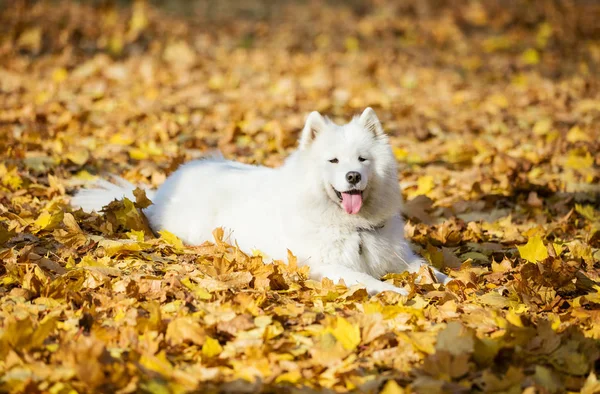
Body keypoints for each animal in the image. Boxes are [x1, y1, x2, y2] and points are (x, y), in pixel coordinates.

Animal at [72, 107, 450, 292]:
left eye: (362, 159)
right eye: (334, 161)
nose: (353, 177)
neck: (353, 227)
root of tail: (165, 186)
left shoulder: (399, 257)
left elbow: (428, 269)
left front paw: (453, 283)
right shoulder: (324, 265)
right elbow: (369, 281)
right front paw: (400, 294)